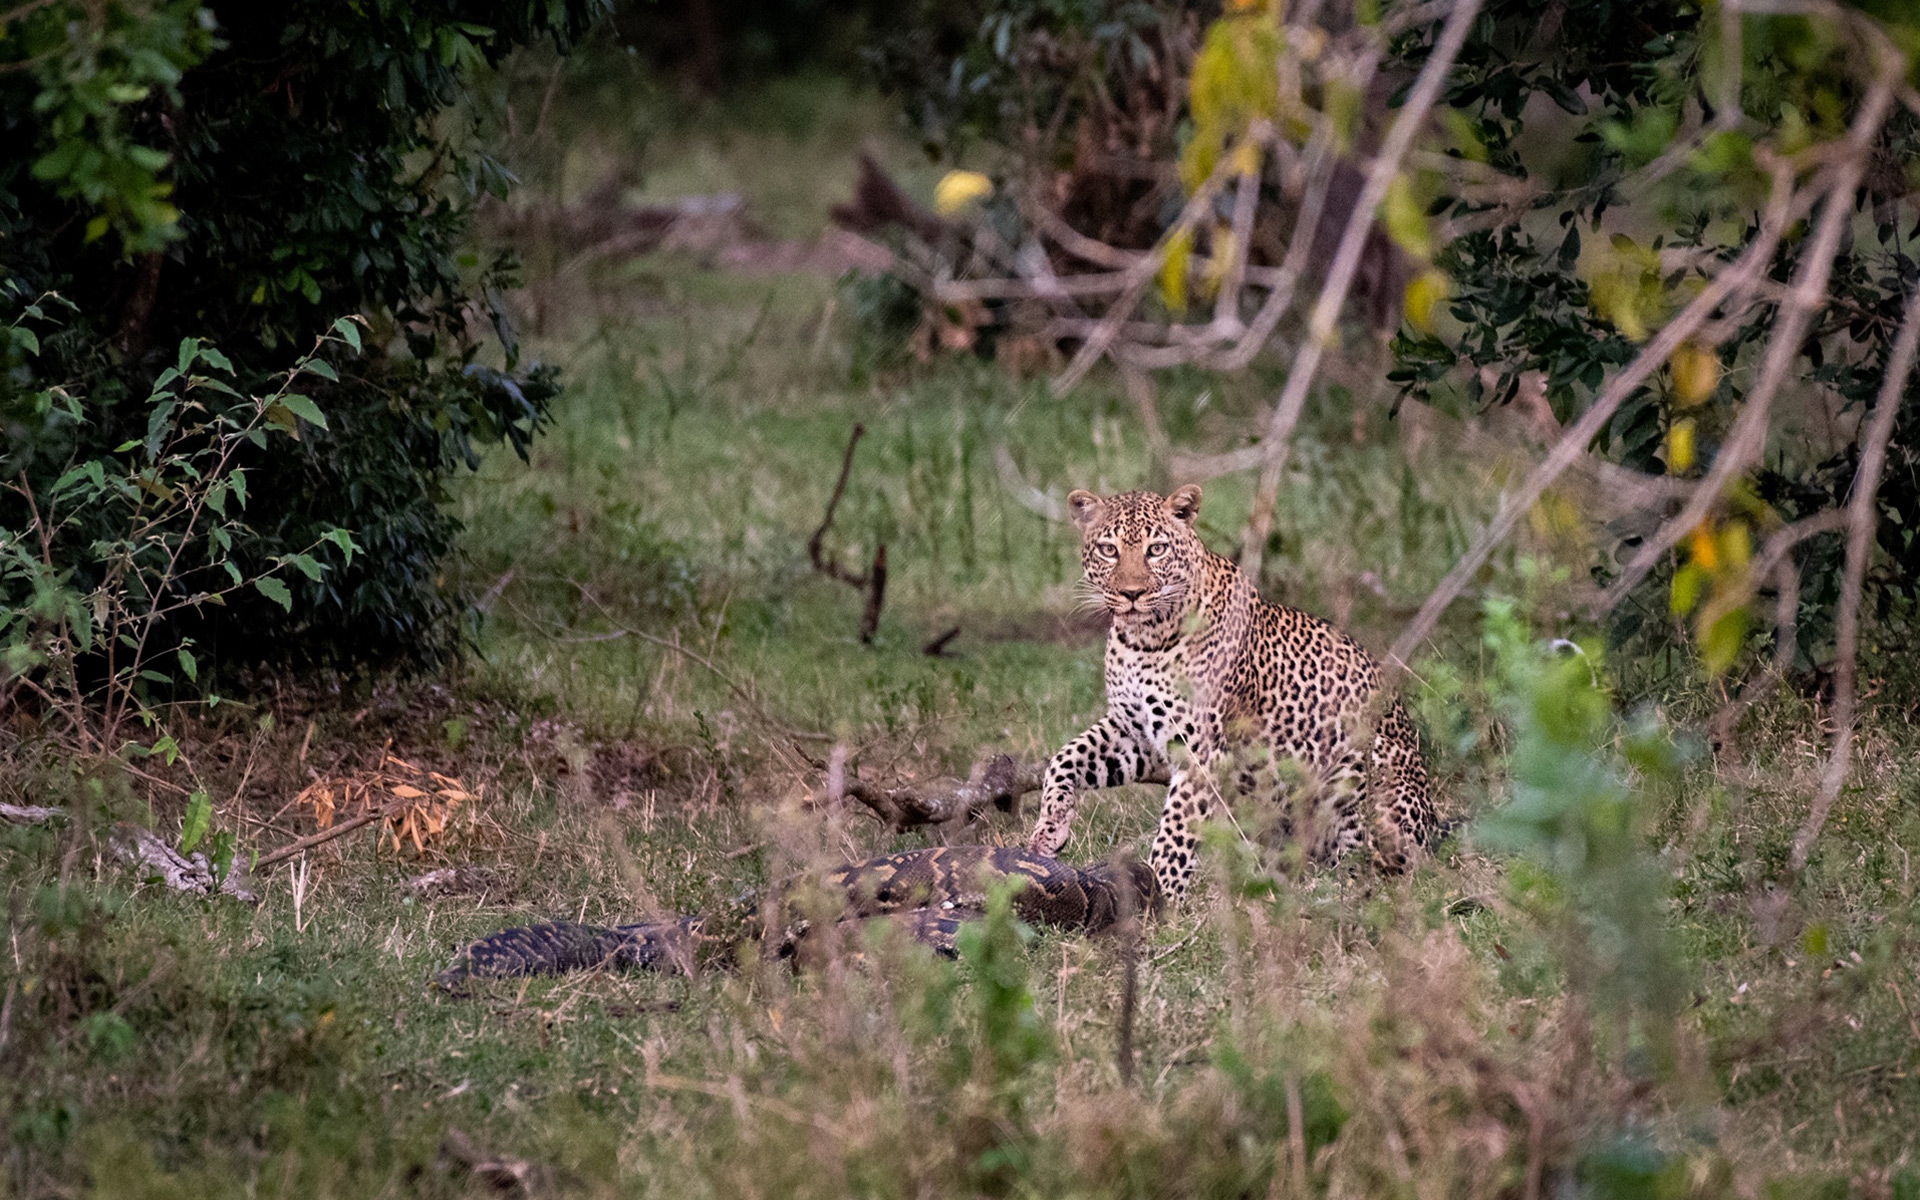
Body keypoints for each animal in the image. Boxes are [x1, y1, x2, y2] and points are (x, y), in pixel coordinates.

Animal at [1029, 481, 1436, 902]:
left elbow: (1175, 832)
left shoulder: (1200, 751)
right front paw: (1049, 830)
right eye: (1109, 549)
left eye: (1156, 549)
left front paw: (1162, 900)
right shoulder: (1135, 732)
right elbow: (1064, 758)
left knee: (1374, 867)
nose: (1132, 593)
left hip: (1368, 763)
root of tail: (1434, 830)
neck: (1140, 641)